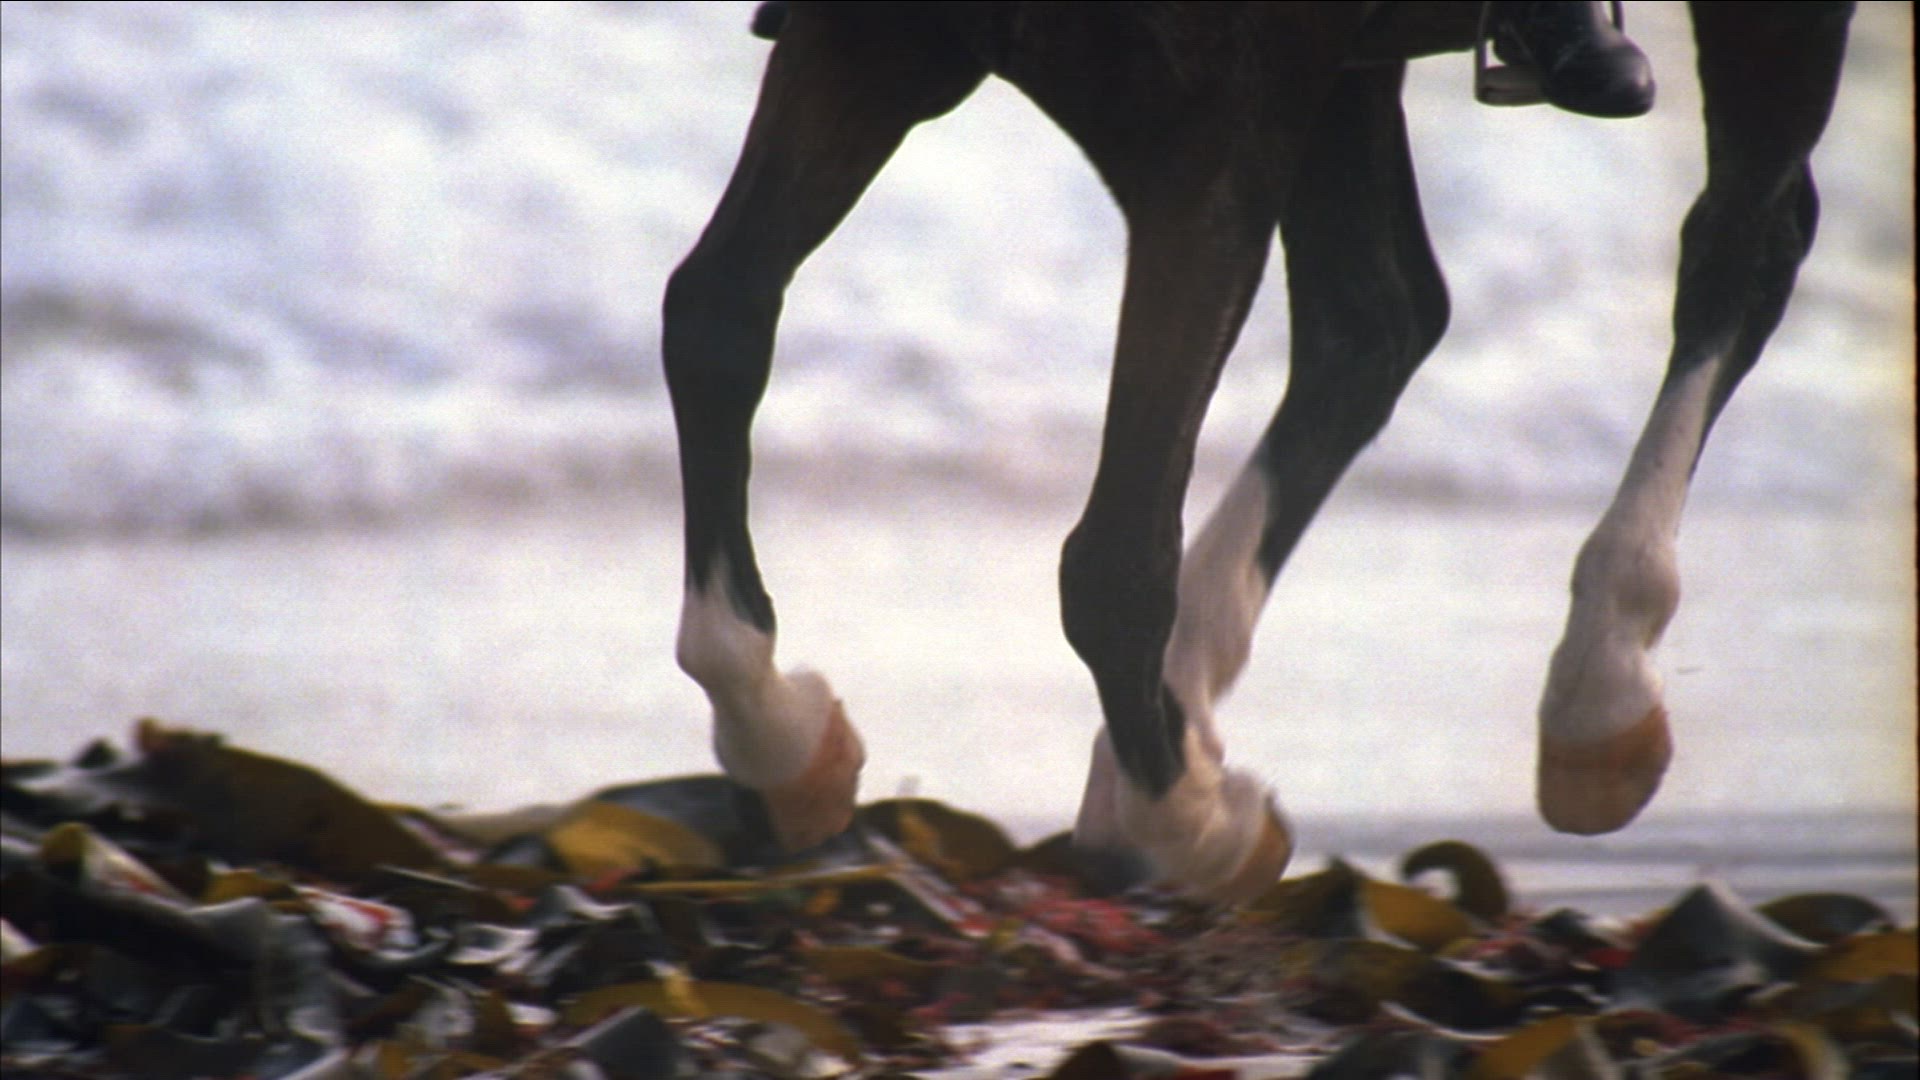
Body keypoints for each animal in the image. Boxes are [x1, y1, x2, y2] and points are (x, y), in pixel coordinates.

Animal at [660, 2, 1856, 901]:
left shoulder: (1214, 125)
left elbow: (1114, 549)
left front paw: (1188, 817)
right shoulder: (869, 38)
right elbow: (714, 317)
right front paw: (776, 724)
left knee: (1745, 238)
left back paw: (1600, 682)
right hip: (1338, 77)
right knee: (1376, 316)